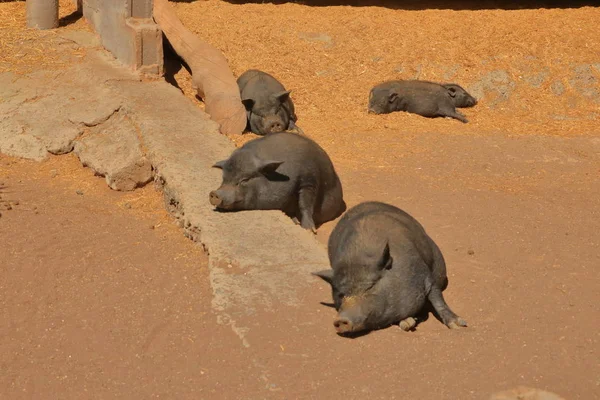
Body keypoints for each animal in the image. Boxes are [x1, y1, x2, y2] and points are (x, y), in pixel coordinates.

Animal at [209, 132, 344, 231]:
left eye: (245, 179)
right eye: (224, 178)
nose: (214, 193)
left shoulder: (310, 178)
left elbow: (305, 203)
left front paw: (309, 229)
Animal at [314, 200, 468, 334]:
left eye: (370, 286)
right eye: (341, 294)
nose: (340, 320)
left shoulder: (426, 276)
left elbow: (436, 296)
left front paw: (459, 325)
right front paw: (406, 324)